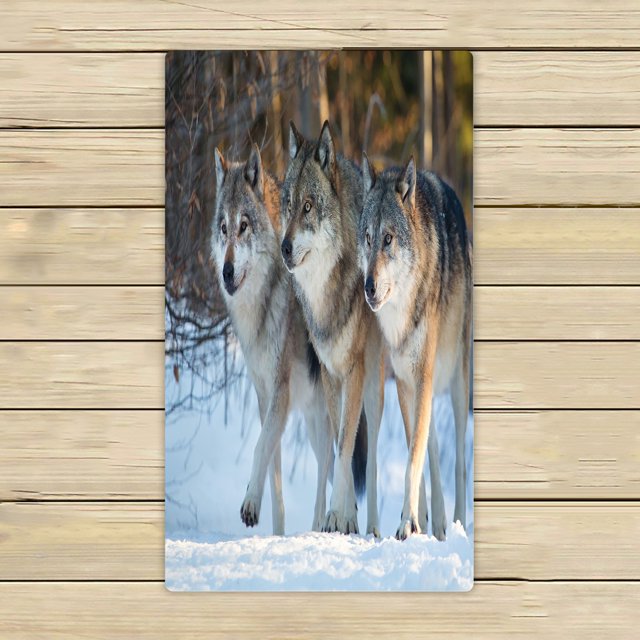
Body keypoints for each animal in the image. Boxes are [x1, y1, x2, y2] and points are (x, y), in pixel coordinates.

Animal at [212, 143, 336, 534]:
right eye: (224, 228)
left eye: (244, 226)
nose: (226, 272)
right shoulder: (265, 395)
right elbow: (274, 476)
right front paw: (276, 533)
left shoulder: (279, 393)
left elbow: (258, 447)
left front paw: (250, 502)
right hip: (312, 422)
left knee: (330, 471)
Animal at [281, 121, 385, 536]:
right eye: (287, 204)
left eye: (309, 206)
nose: (284, 247)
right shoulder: (329, 372)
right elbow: (338, 446)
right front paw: (335, 517)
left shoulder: (354, 370)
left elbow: (348, 444)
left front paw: (343, 517)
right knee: (328, 448)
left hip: (375, 386)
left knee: (371, 454)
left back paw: (375, 527)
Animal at [359, 154, 472, 541]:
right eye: (367, 238)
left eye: (388, 239)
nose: (368, 287)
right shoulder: (405, 381)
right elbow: (416, 451)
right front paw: (414, 520)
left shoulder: (421, 375)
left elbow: (412, 460)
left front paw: (408, 521)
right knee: (433, 449)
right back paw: (435, 520)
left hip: (457, 384)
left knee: (458, 461)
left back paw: (457, 524)